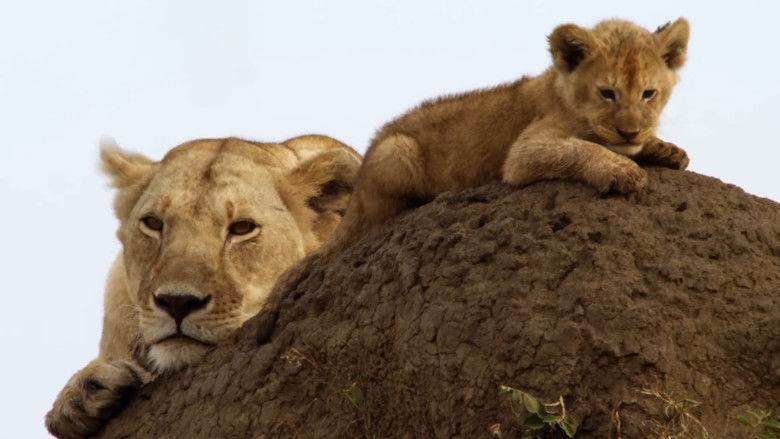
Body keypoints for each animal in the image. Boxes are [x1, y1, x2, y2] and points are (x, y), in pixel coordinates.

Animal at [326, 18, 690, 250]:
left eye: (648, 94)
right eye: (607, 93)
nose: (629, 131)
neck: (563, 90)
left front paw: (666, 149)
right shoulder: (523, 153)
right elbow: (579, 148)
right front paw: (622, 171)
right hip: (396, 151)